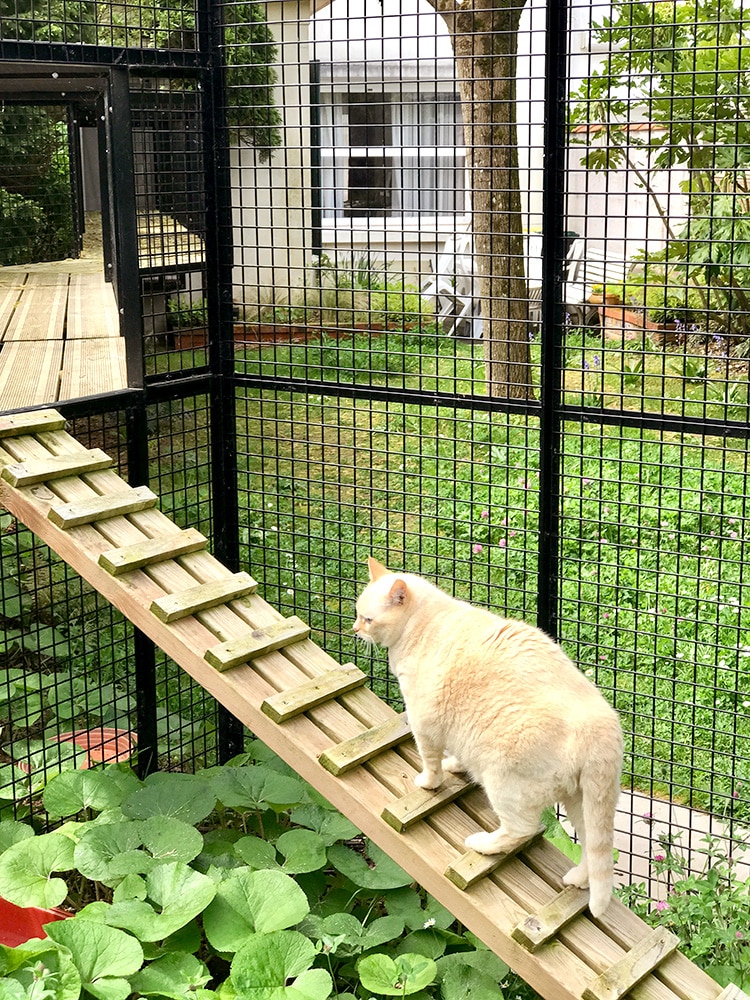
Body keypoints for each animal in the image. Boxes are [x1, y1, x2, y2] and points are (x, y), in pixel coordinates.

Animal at [356, 560, 624, 916]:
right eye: (357, 614)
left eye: (368, 618)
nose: (355, 630)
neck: (423, 624)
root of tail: (602, 727)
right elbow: (452, 758)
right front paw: (455, 767)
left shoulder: (422, 722)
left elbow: (430, 762)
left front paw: (428, 782)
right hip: (580, 802)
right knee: (594, 850)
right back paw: (578, 879)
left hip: (503, 782)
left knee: (521, 829)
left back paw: (482, 844)